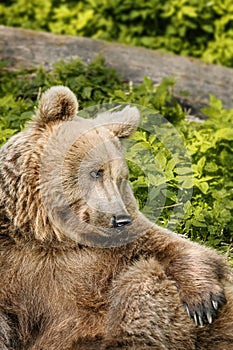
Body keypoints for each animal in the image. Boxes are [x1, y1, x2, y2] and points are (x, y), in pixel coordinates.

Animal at [0, 85, 232, 350]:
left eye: (120, 178)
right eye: (96, 172)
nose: (120, 219)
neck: (49, 235)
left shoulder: (115, 248)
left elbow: (177, 247)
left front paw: (203, 303)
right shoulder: (12, 257)